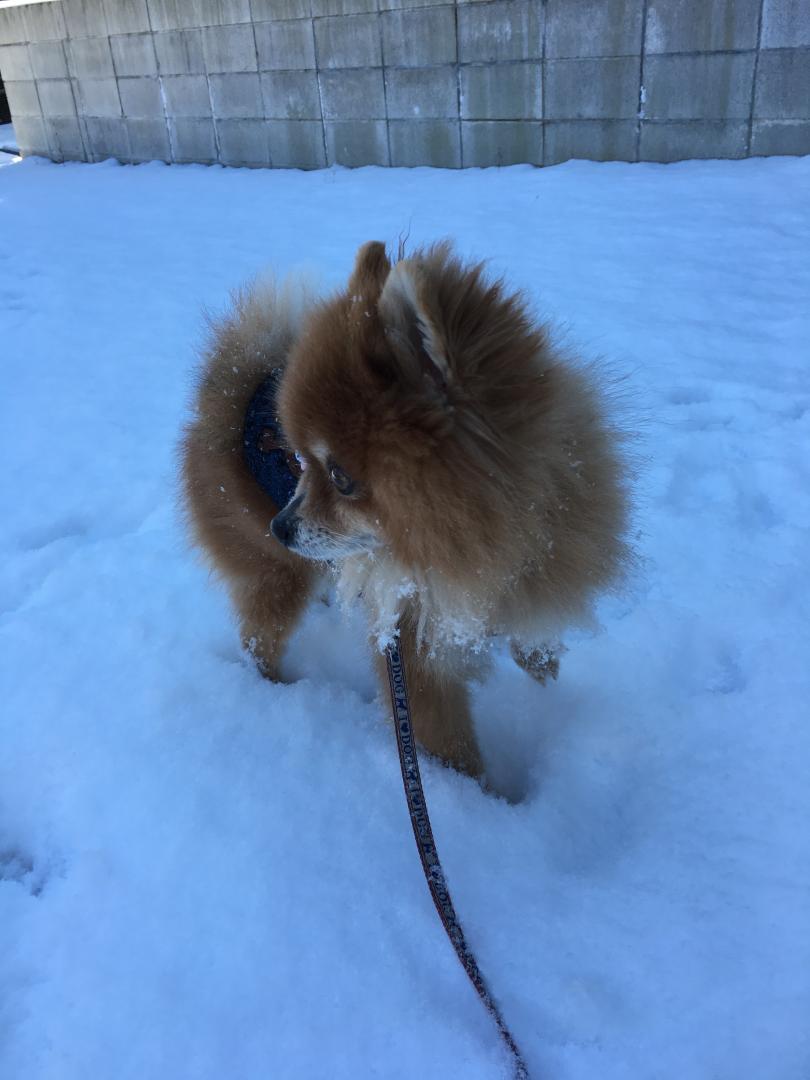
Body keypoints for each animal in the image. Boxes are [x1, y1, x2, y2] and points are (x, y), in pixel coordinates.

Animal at [180, 239, 630, 777]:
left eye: (339, 477)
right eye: (299, 461)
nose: (280, 526)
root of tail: (226, 392)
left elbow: (532, 627)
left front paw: (542, 669)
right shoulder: (415, 648)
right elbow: (452, 747)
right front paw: (478, 795)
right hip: (274, 577)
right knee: (258, 639)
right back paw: (275, 693)